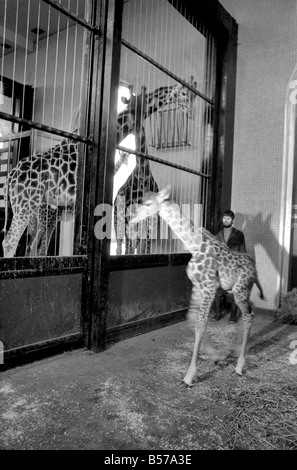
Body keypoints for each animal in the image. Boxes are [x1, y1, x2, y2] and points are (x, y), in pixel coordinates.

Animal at [130, 186, 264, 386]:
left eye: (148, 204)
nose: (131, 219)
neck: (194, 246)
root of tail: (254, 268)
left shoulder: (209, 287)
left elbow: (201, 323)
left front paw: (189, 375)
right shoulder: (197, 286)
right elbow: (192, 318)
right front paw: (216, 357)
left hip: (241, 290)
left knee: (247, 317)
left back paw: (240, 366)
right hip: (240, 291)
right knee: (251, 313)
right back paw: (236, 351)